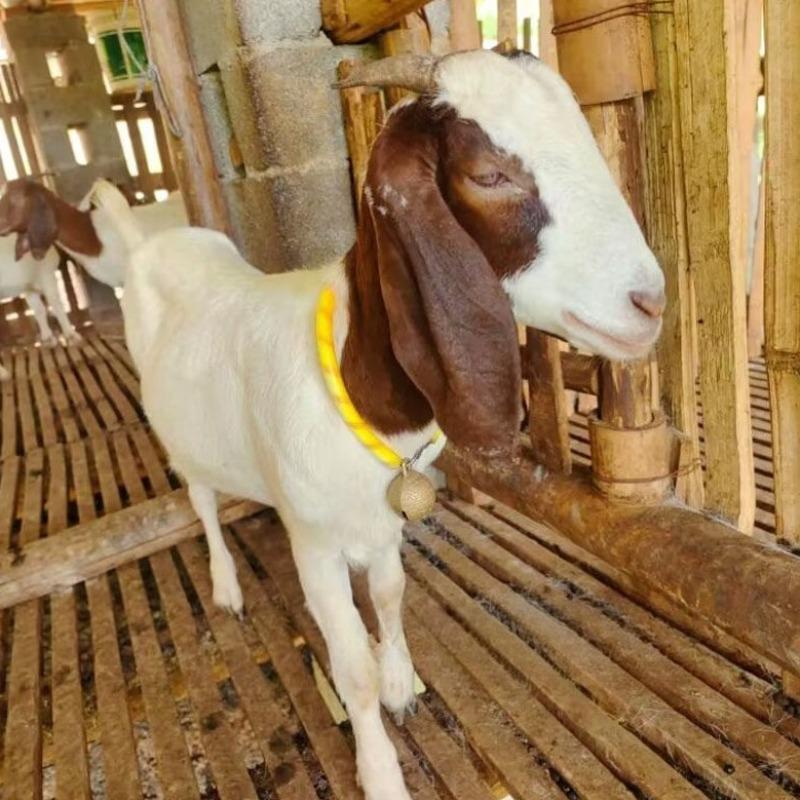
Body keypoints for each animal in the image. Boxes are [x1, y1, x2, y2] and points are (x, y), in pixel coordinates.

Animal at [15, 49, 666, 799]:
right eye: (488, 175)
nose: (651, 302)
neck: (371, 411)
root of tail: (153, 242)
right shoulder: (315, 546)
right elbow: (349, 669)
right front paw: (380, 770)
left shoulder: (386, 522)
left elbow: (388, 595)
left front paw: (401, 683)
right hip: (174, 432)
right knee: (201, 499)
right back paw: (225, 585)